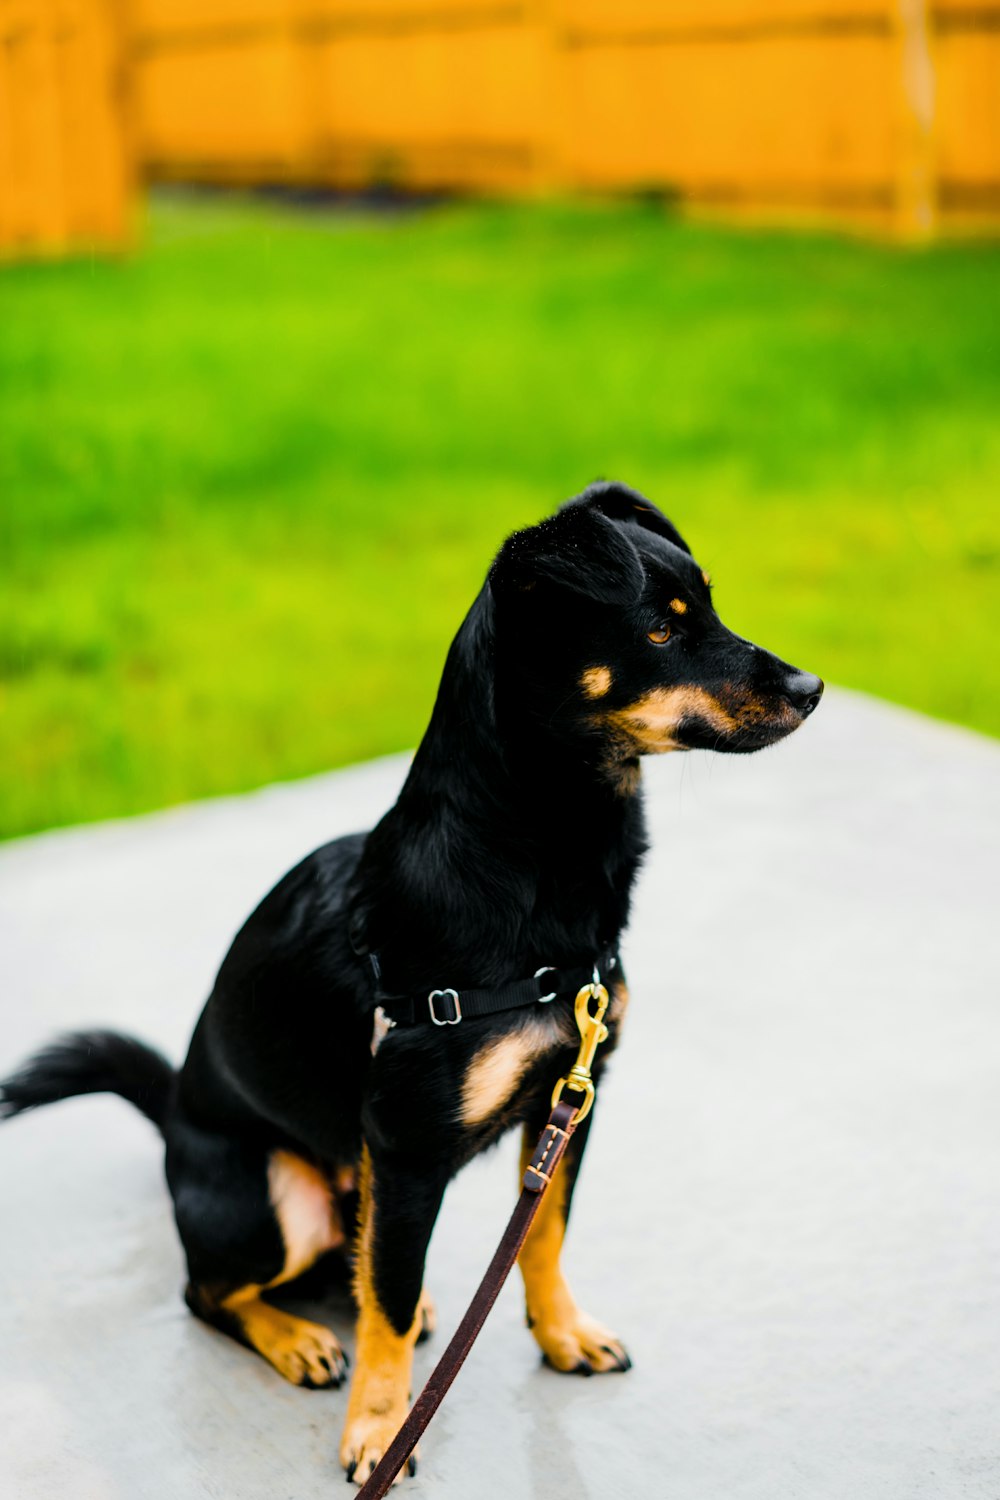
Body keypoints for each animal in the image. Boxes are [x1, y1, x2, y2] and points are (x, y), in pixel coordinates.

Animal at [1, 480, 821, 1476]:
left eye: (709, 606)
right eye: (662, 631)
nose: (813, 689)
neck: (535, 862)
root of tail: (173, 1115)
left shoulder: (571, 1105)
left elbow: (541, 1239)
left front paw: (560, 1334)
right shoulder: (405, 1151)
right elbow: (386, 1312)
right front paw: (380, 1428)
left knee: (344, 1266)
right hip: (276, 1194)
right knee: (215, 1290)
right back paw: (296, 1338)